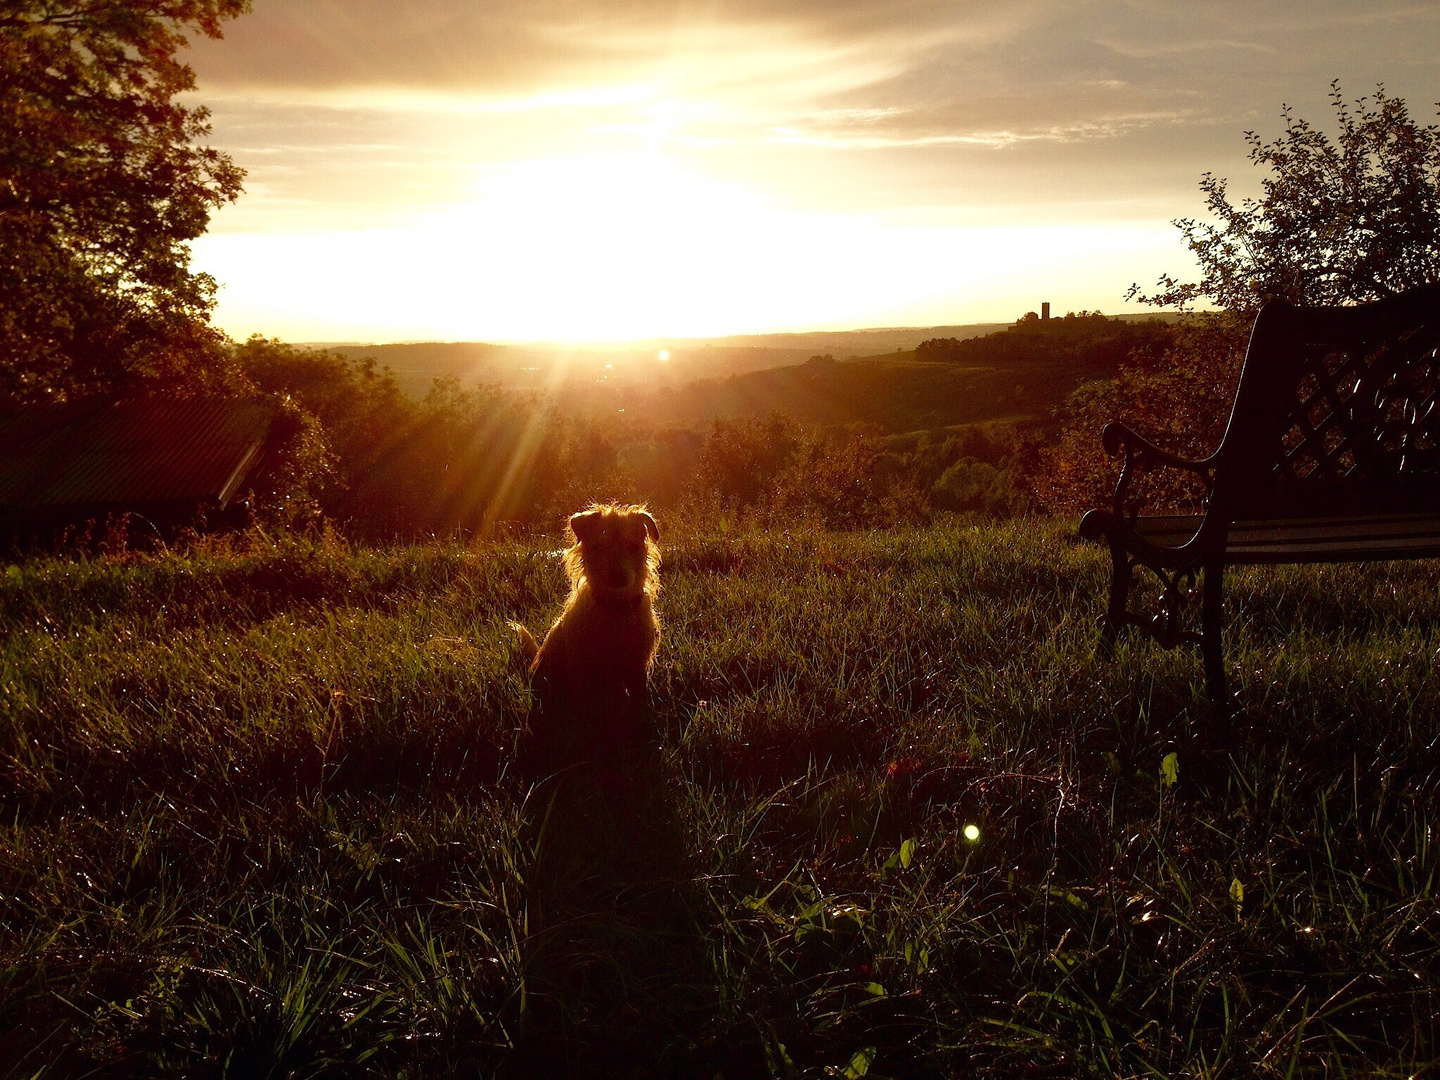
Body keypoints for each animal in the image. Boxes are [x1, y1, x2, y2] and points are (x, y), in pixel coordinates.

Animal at [512, 506, 659, 771]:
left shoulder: (637, 666)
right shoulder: (582, 669)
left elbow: (640, 701)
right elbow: (585, 707)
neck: (614, 612)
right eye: (599, 547)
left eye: (634, 547)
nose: (619, 578)